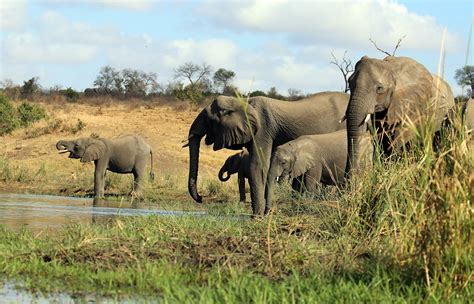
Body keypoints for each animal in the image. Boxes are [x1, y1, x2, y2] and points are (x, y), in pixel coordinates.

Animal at [187, 91, 350, 215]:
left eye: (208, 120)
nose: (201, 198)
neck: (243, 102)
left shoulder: (262, 130)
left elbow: (257, 166)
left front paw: (257, 217)